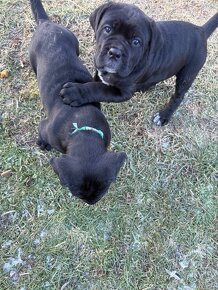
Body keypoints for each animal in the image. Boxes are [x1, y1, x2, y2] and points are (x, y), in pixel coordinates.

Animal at [28, 0, 126, 204]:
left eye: (103, 190)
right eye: (76, 192)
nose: (90, 203)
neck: (83, 129)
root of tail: (46, 23)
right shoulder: (44, 127)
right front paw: (42, 144)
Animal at [60, 1, 218, 125]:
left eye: (136, 42)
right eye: (107, 29)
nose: (115, 52)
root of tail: (201, 31)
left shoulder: (122, 92)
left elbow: (98, 89)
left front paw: (75, 92)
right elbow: (96, 81)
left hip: (188, 73)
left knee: (178, 96)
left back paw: (163, 116)